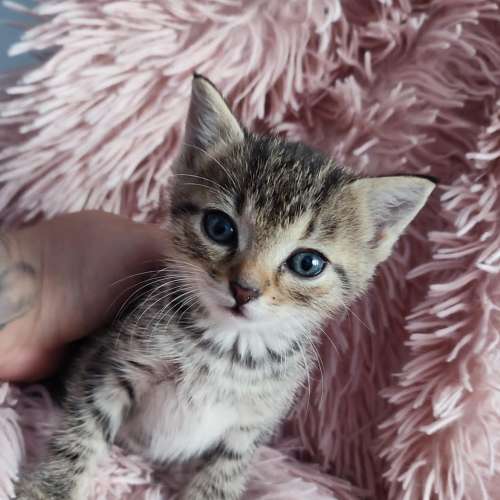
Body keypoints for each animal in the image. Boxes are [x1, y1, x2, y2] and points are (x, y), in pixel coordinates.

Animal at [15, 74, 435, 500]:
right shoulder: (109, 365)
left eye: (307, 263)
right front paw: (50, 489)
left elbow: (222, 476)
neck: (229, 349)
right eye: (220, 228)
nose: (244, 289)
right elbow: (80, 433)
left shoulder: (251, 426)